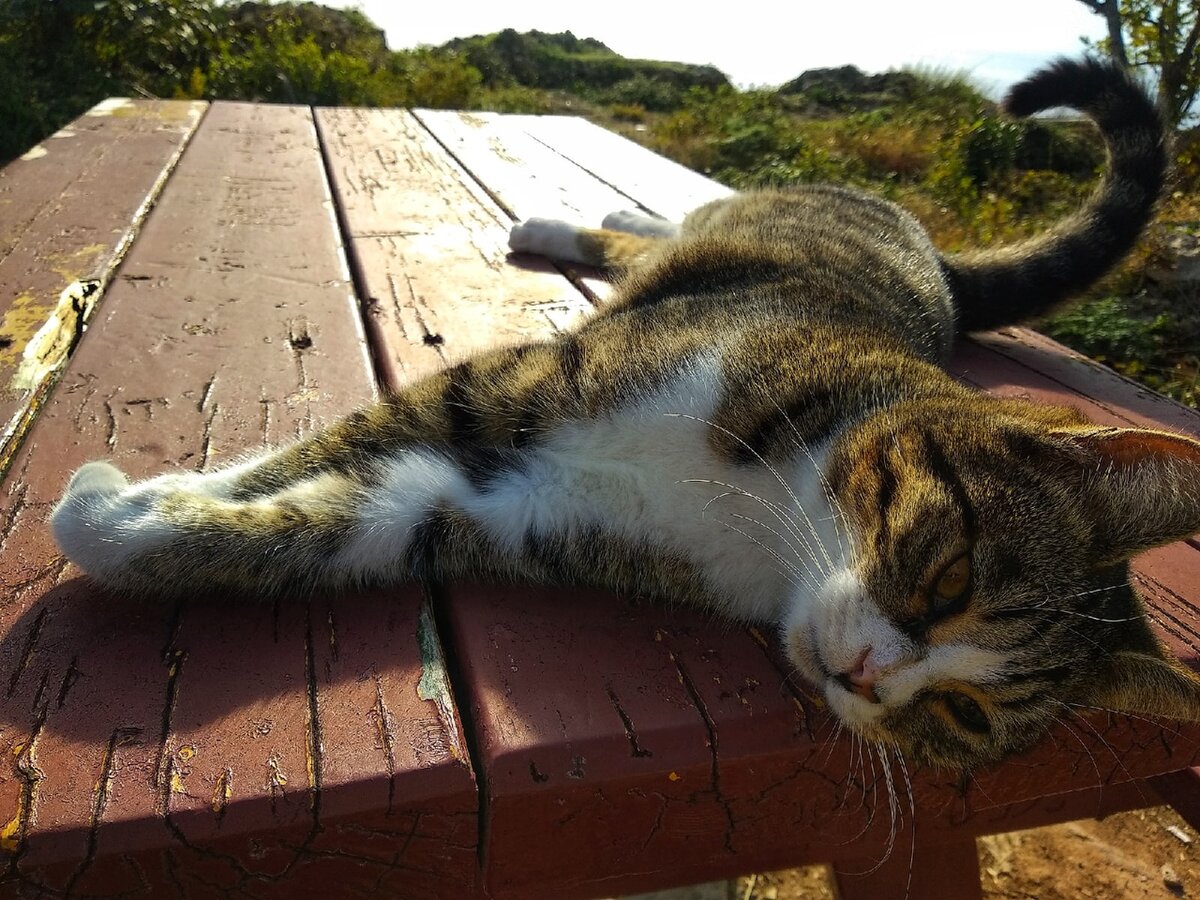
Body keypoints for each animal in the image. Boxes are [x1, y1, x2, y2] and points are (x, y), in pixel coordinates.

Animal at [51, 60, 1200, 772]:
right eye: (951, 574)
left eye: (961, 715)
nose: (866, 675)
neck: (766, 512)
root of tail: (931, 253)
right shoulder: (526, 382)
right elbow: (349, 438)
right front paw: (148, 496)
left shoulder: (515, 516)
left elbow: (343, 520)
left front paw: (128, 527)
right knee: (658, 235)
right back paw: (577, 216)